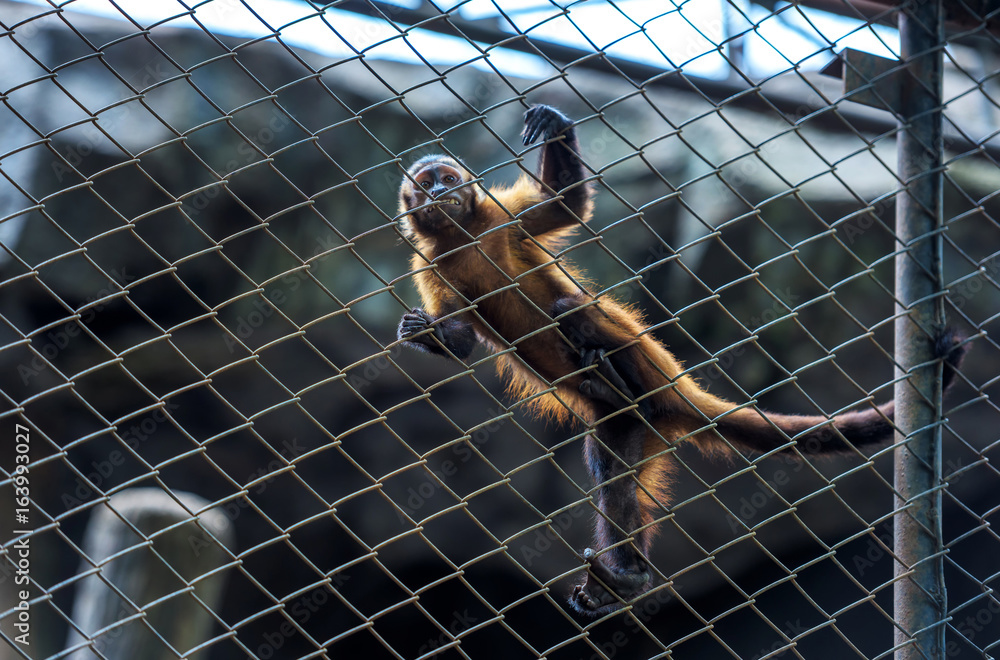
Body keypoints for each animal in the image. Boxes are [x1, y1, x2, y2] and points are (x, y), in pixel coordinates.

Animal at [392, 102, 968, 612]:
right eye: (427, 183)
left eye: (447, 177)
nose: (441, 190)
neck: (463, 234)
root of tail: (670, 391)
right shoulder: (429, 261)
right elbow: (460, 340)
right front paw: (427, 334)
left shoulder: (500, 215)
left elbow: (566, 207)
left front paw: (554, 123)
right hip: (628, 424)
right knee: (615, 475)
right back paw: (626, 574)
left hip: (646, 357)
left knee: (570, 309)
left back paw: (609, 373)